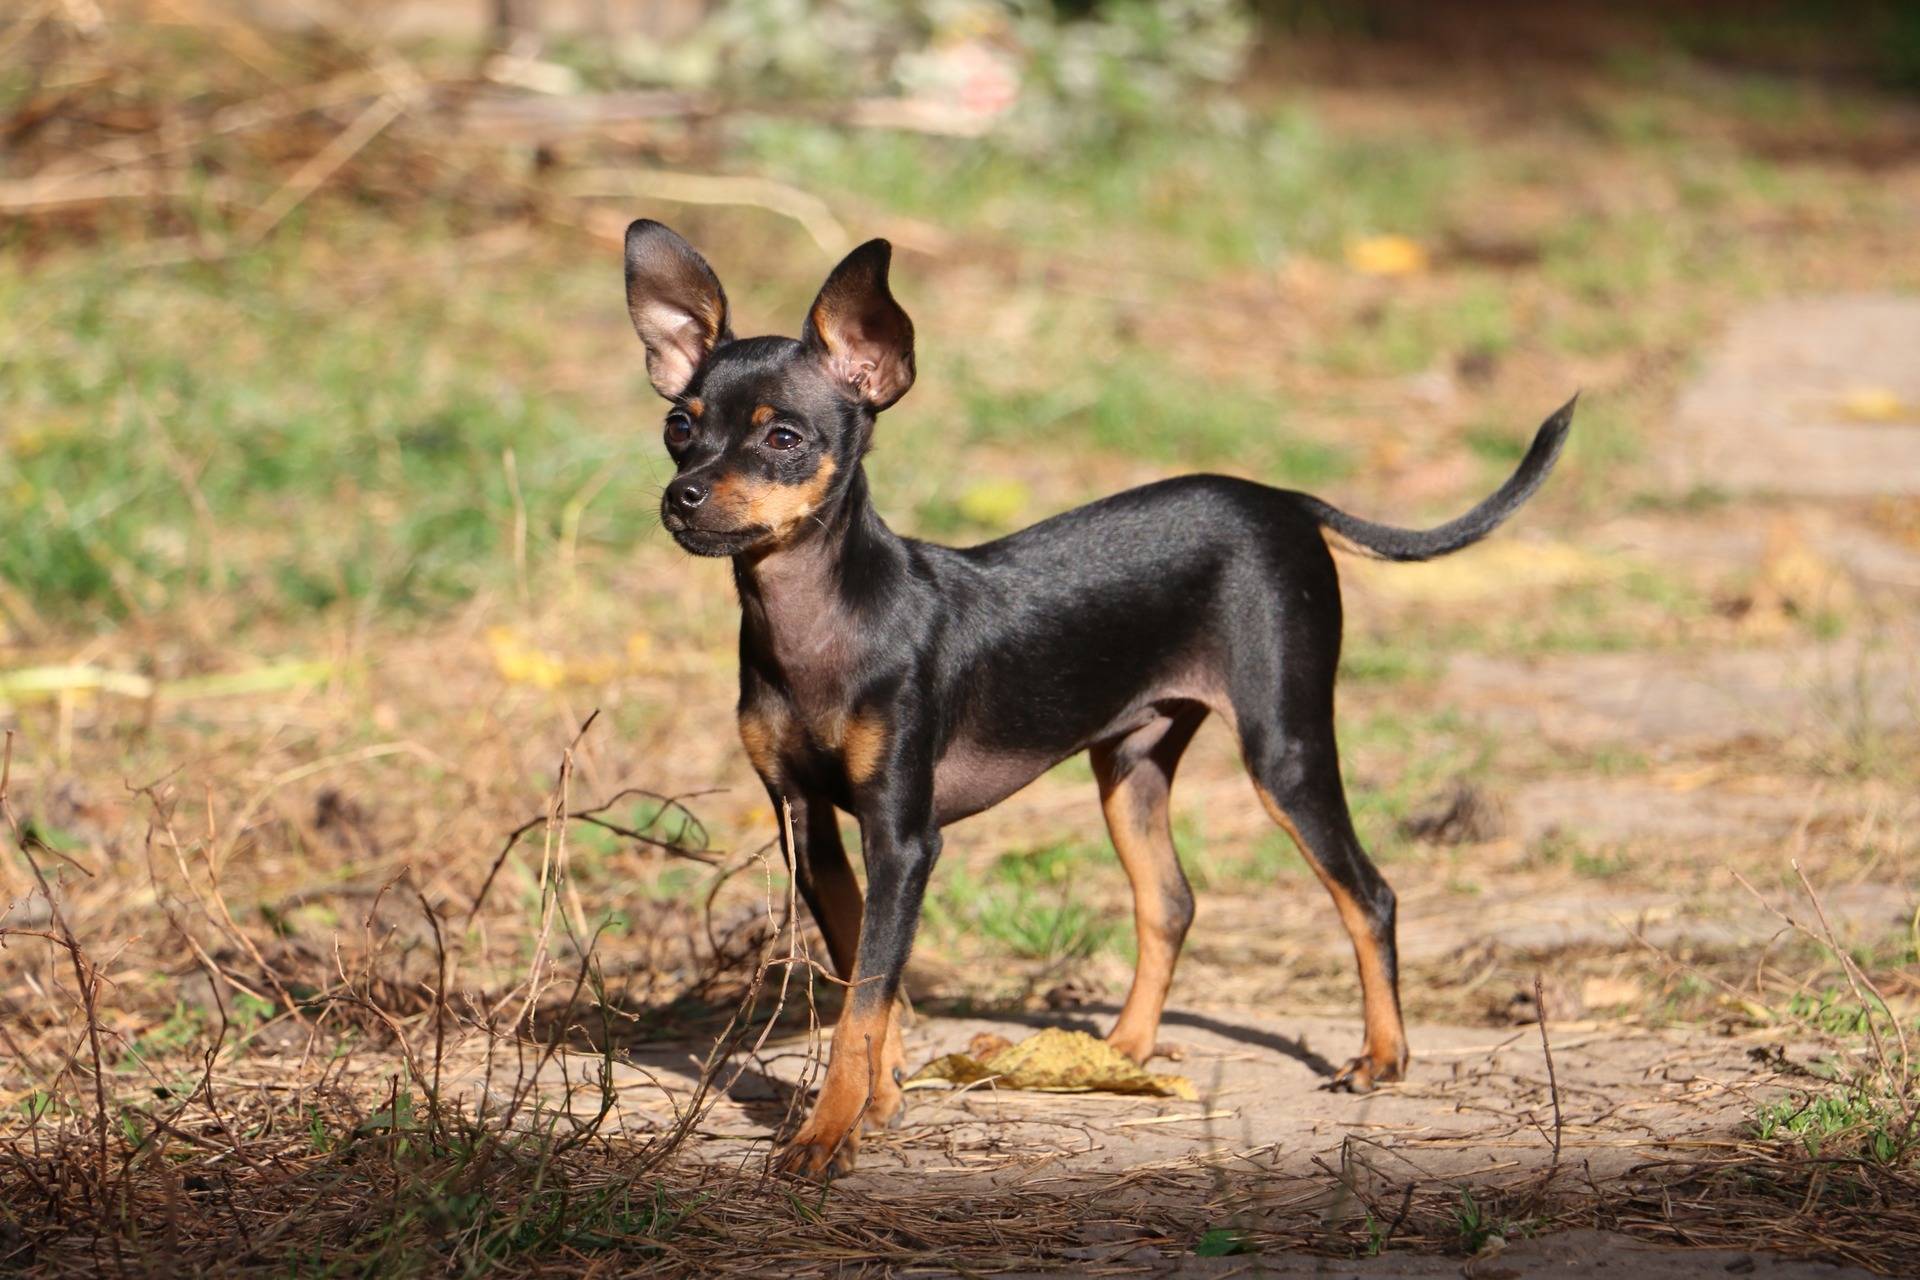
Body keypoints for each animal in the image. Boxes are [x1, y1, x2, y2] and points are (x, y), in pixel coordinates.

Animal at [622, 220, 1566, 1182]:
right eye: (678, 427)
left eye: (782, 438)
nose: (680, 496)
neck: (824, 621)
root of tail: (1283, 502)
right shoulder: (809, 828)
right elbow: (863, 982)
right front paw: (877, 1103)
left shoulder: (902, 836)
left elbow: (865, 1003)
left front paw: (827, 1133)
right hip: (1132, 763)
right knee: (1171, 901)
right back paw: (1124, 1053)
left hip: (1285, 750)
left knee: (1367, 894)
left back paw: (1380, 1056)